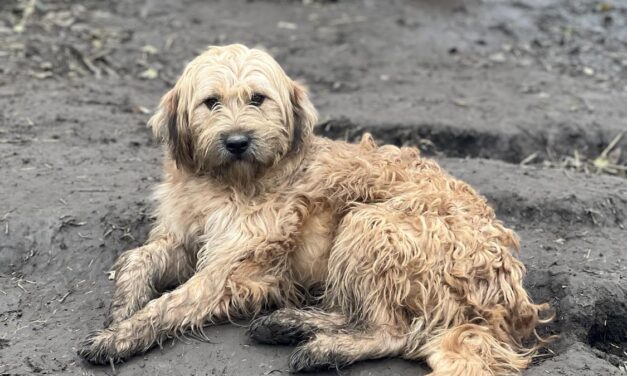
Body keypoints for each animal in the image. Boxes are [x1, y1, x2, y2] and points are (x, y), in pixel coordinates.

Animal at [77, 43, 548, 374]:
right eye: (211, 102)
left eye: (258, 98)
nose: (237, 141)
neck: (227, 180)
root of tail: (504, 303)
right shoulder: (183, 239)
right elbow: (137, 257)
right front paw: (123, 307)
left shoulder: (233, 266)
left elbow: (175, 301)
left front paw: (121, 337)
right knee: (365, 316)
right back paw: (291, 323)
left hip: (369, 223)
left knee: (393, 333)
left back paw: (323, 347)